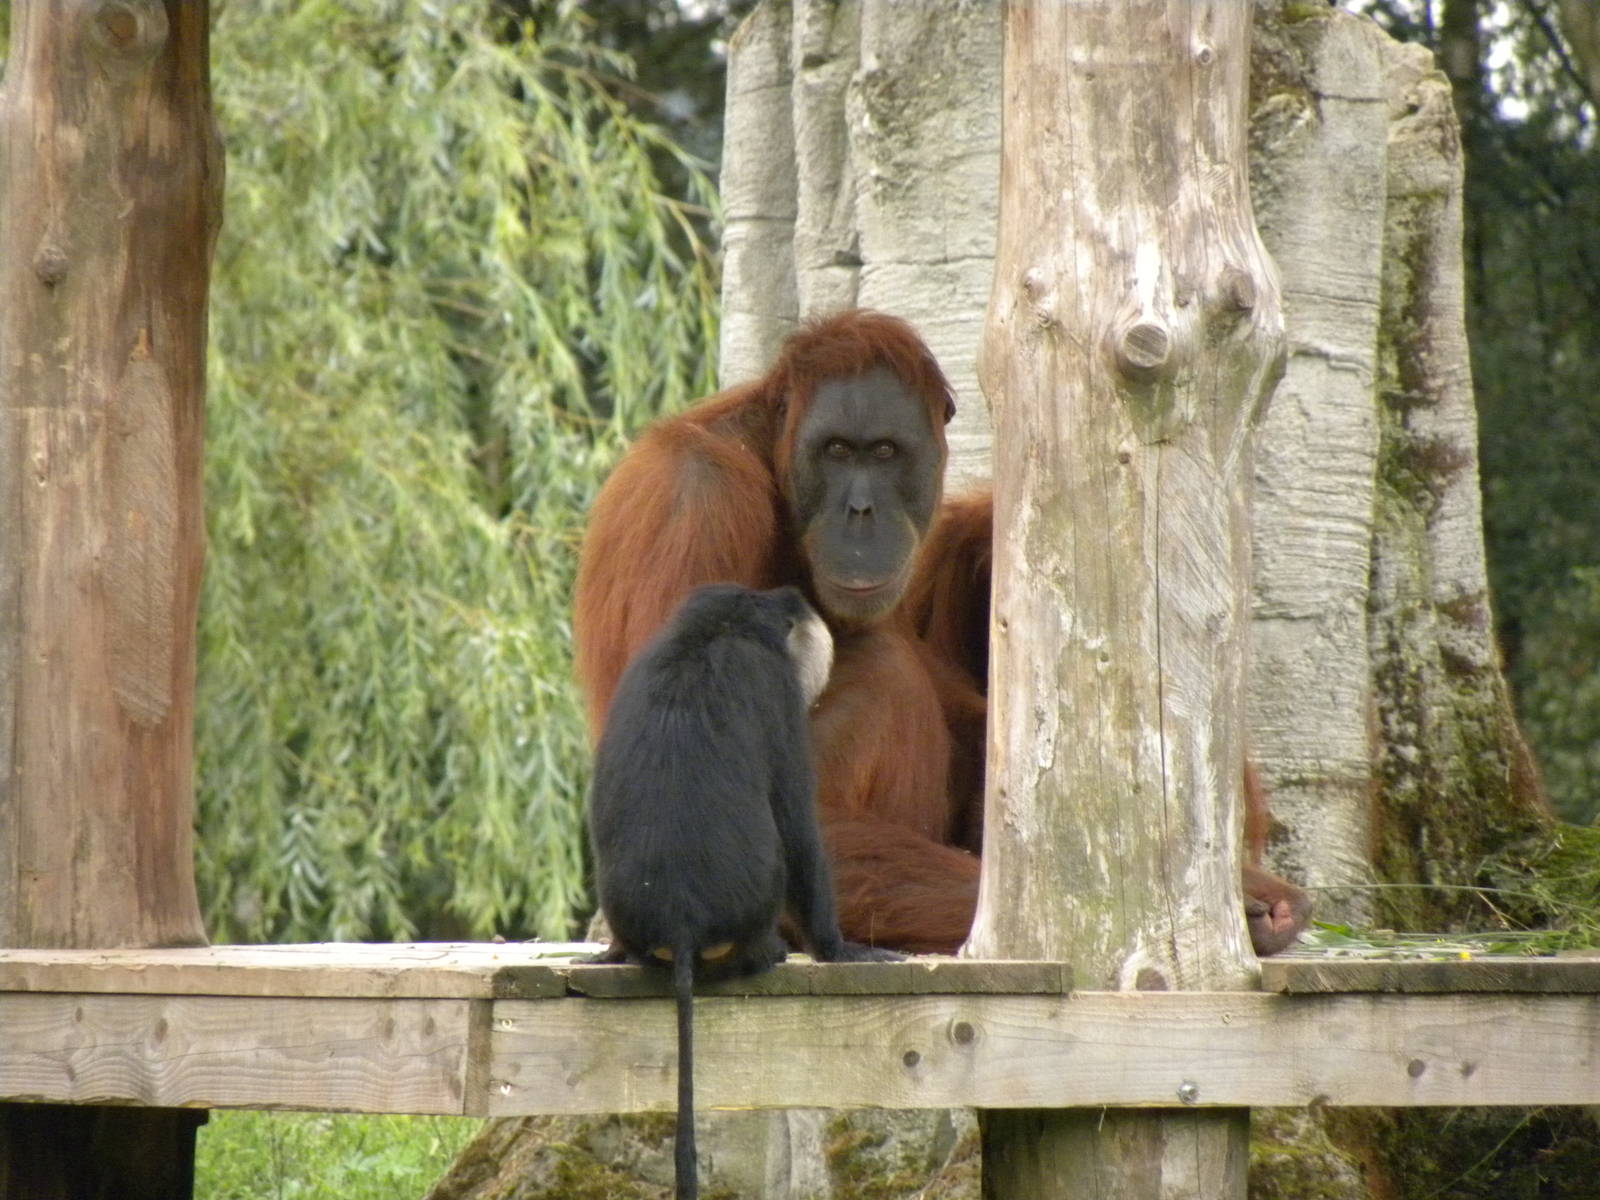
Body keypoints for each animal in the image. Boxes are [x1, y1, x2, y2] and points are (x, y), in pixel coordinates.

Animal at [583, 583, 903, 1200]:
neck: (709, 633)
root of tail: (681, 924)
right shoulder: (775, 690)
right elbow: (797, 819)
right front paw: (837, 948)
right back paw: (768, 954)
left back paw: (618, 952)